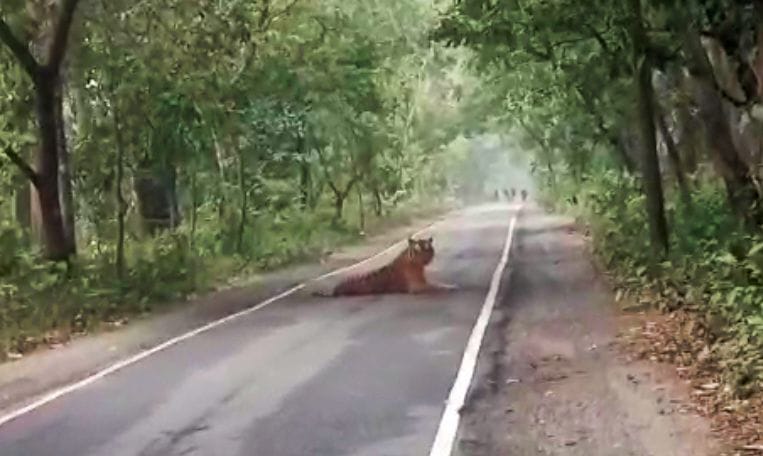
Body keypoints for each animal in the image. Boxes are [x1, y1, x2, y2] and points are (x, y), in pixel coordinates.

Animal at [313, 237, 456, 297]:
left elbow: (437, 283)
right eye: (418, 250)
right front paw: (451, 287)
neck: (417, 265)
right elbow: (436, 286)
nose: (427, 258)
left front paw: (450, 286)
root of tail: (335, 289)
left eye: (428, 249)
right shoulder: (417, 286)